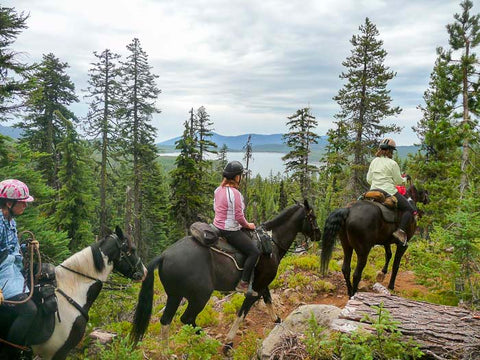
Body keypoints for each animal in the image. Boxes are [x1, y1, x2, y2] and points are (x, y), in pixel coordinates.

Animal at [129, 200, 320, 348]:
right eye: (313, 217)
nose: (318, 234)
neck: (271, 244)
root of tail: (164, 255)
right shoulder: (255, 289)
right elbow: (242, 313)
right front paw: (228, 342)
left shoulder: (262, 284)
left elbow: (269, 301)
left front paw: (278, 320)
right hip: (200, 296)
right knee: (187, 318)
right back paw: (210, 341)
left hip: (174, 296)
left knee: (166, 321)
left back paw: (166, 352)